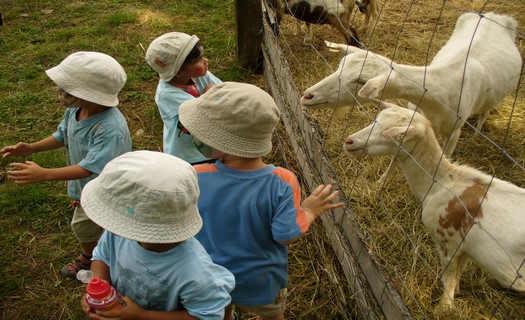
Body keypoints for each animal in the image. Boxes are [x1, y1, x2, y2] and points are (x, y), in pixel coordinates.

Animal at [300, 11, 520, 157]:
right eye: (341, 65)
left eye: (361, 81)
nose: (307, 95)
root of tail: (497, 16)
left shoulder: (454, 132)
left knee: (486, 111)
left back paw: (476, 134)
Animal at [344, 102, 524, 308]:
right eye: (376, 119)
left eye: (395, 134)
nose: (349, 141)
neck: (443, 184)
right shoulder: (465, 248)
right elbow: (459, 273)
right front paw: (456, 294)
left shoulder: (448, 243)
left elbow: (449, 280)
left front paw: (444, 307)